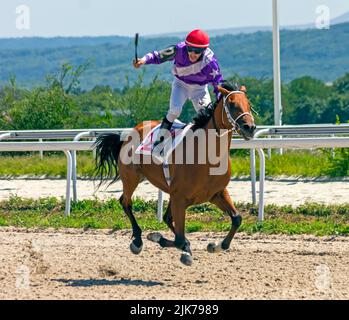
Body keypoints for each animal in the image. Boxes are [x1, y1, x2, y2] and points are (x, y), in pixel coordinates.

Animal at [94, 81, 254, 266]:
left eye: (249, 104)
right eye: (232, 104)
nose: (250, 127)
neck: (206, 154)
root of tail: (130, 133)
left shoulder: (216, 193)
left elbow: (236, 219)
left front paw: (215, 246)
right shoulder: (180, 198)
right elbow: (178, 238)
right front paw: (169, 243)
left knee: (167, 218)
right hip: (131, 177)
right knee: (126, 202)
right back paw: (138, 241)